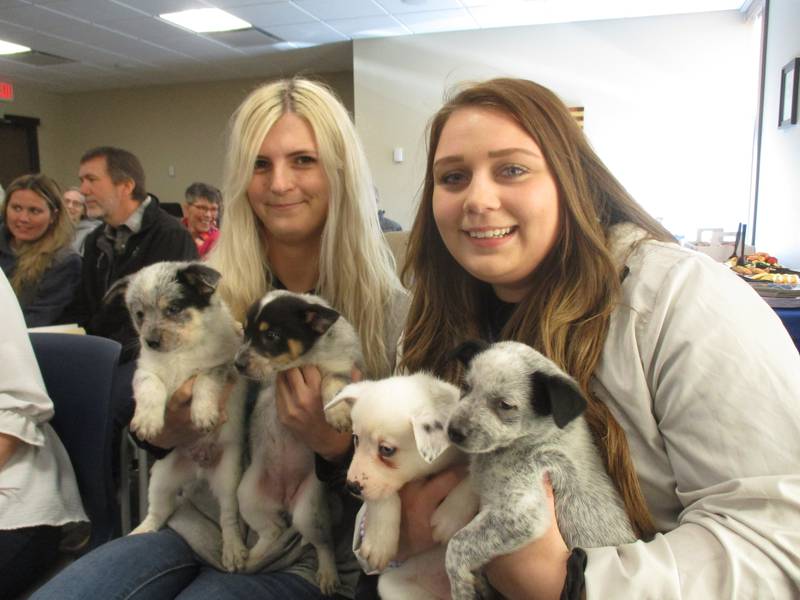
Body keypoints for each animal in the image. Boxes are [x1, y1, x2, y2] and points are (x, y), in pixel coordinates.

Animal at [105, 262, 247, 572]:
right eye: (139, 314)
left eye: (173, 309)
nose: (150, 341)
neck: (181, 352)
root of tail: (198, 470)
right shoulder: (144, 371)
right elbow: (152, 388)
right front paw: (148, 421)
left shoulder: (222, 367)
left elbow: (205, 380)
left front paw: (203, 413)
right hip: (160, 477)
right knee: (160, 510)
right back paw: (141, 530)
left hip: (229, 478)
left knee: (228, 516)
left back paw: (233, 549)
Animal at [233, 288, 364, 592]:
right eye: (245, 331)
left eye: (271, 335)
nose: (237, 364)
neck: (303, 360)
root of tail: (284, 501)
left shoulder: (342, 369)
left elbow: (332, 384)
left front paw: (337, 414)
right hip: (247, 496)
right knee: (273, 530)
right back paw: (252, 556)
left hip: (308, 512)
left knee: (323, 545)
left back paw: (328, 574)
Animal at [324, 372, 478, 596]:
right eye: (355, 438)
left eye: (386, 449)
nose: (352, 486)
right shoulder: (378, 485)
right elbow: (382, 496)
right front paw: (379, 540)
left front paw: (450, 516)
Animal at [444, 340, 636, 596]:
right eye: (466, 386)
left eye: (505, 405)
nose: (453, 431)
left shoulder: (523, 514)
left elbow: (457, 545)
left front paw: (461, 588)